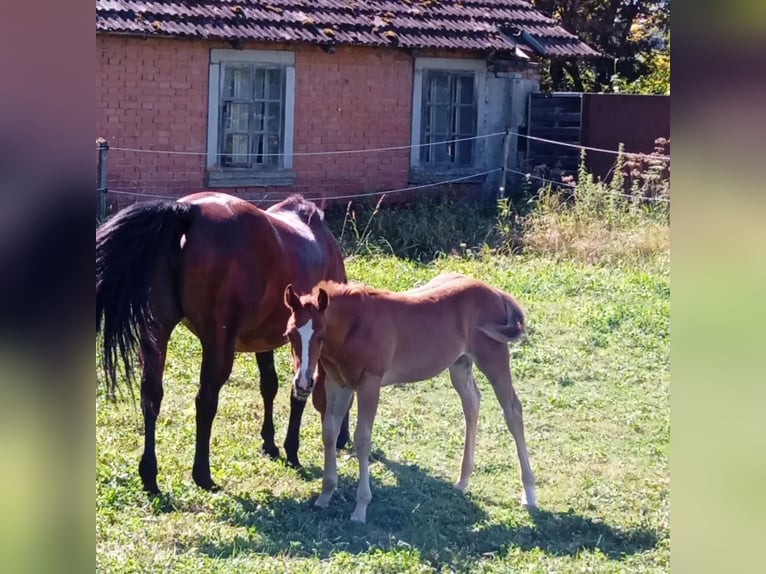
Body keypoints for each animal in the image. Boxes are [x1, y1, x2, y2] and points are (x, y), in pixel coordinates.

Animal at [96, 194, 352, 496]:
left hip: (156, 331)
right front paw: (293, 448)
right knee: (205, 400)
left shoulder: (266, 341)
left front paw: (271, 443)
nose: (343, 440)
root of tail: (190, 211)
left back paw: (149, 476)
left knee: (151, 394)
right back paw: (203, 475)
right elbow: (302, 390)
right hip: (217, 345)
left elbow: (270, 385)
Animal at [284, 274, 540, 528]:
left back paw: (529, 493)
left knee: (512, 410)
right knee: (472, 403)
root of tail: (497, 292)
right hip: (460, 364)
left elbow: (362, 439)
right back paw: (462, 480)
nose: (303, 383)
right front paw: (325, 495)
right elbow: (329, 431)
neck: (355, 325)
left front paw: (361, 507)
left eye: (321, 335)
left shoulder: (370, 383)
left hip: (493, 357)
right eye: (289, 335)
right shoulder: (338, 382)